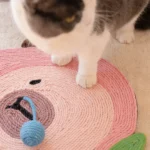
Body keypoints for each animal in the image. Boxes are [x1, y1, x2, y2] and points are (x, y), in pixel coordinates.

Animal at [10, 0, 150, 88]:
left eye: (93, 3)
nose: (89, 20)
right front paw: (62, 56)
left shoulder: (98, 33)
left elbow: (88, 58)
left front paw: (86, 77)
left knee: (132, 16)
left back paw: (125, 33)